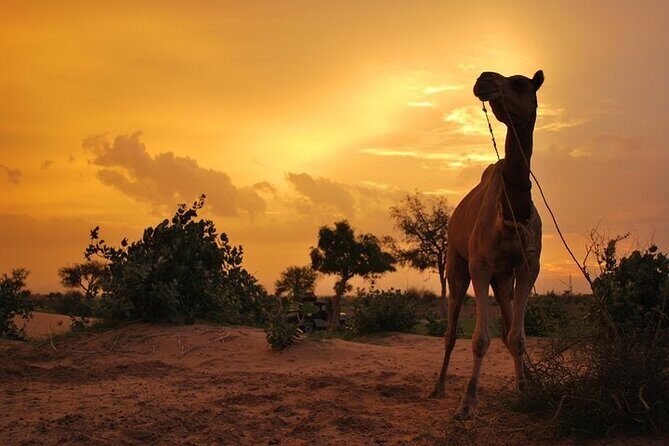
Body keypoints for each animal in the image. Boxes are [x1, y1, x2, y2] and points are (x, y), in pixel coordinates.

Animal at [430, 70, 545, 420]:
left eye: (520, 83)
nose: (484, 78)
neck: (512, 212)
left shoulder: (529, 266)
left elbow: (517, 337)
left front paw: (526, 393)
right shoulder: (479, 265)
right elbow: (480, 338)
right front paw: (467, 403)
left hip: (503, 278)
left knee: (508, 328)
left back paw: (527, 382)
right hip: (456, 265)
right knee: (451, 332)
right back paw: (438, 388)